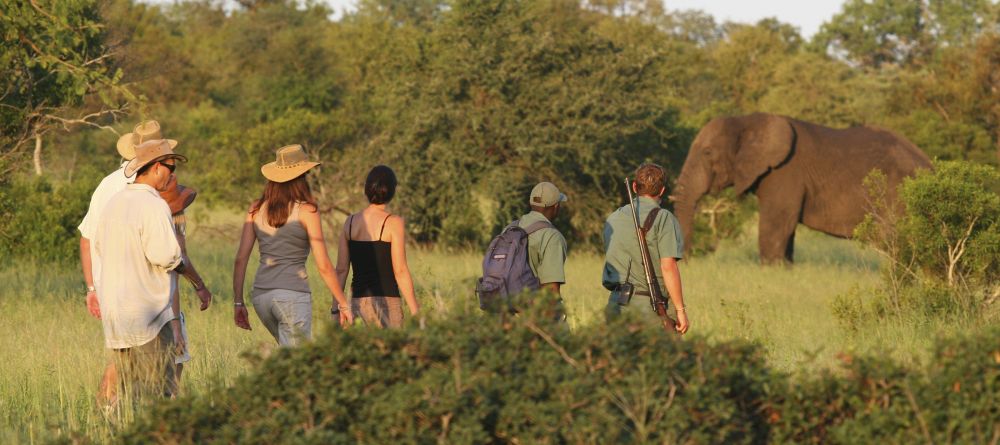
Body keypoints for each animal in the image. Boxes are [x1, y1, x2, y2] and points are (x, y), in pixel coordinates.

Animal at [672, 113, 931, 264]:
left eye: (707, 153)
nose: (685, 261)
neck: (747, 120)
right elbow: (786, 231)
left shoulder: (785, 173)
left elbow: (776, 226)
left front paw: (771, 272)